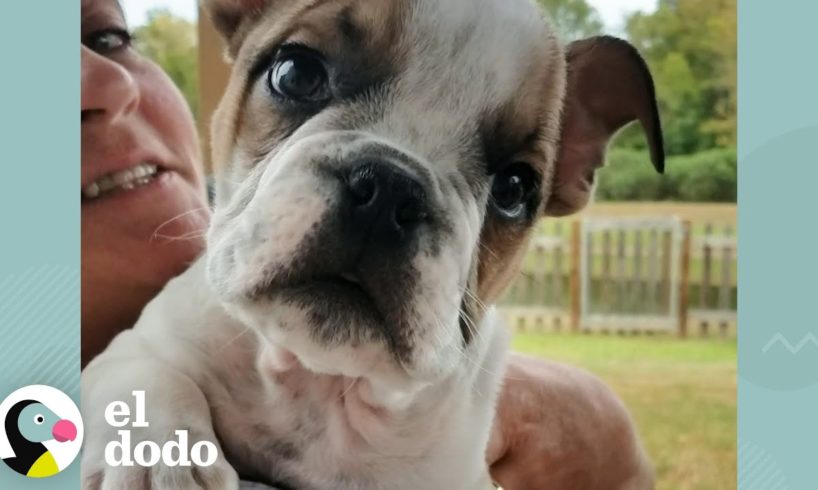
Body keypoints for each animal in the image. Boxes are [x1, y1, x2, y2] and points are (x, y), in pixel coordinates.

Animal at [79, 0, 660, 486]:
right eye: (294, 74)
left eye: (515, 188)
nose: (389, 188)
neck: (318, 381)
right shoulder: (140, 343)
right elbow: (147, 376)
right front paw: (159, 464)